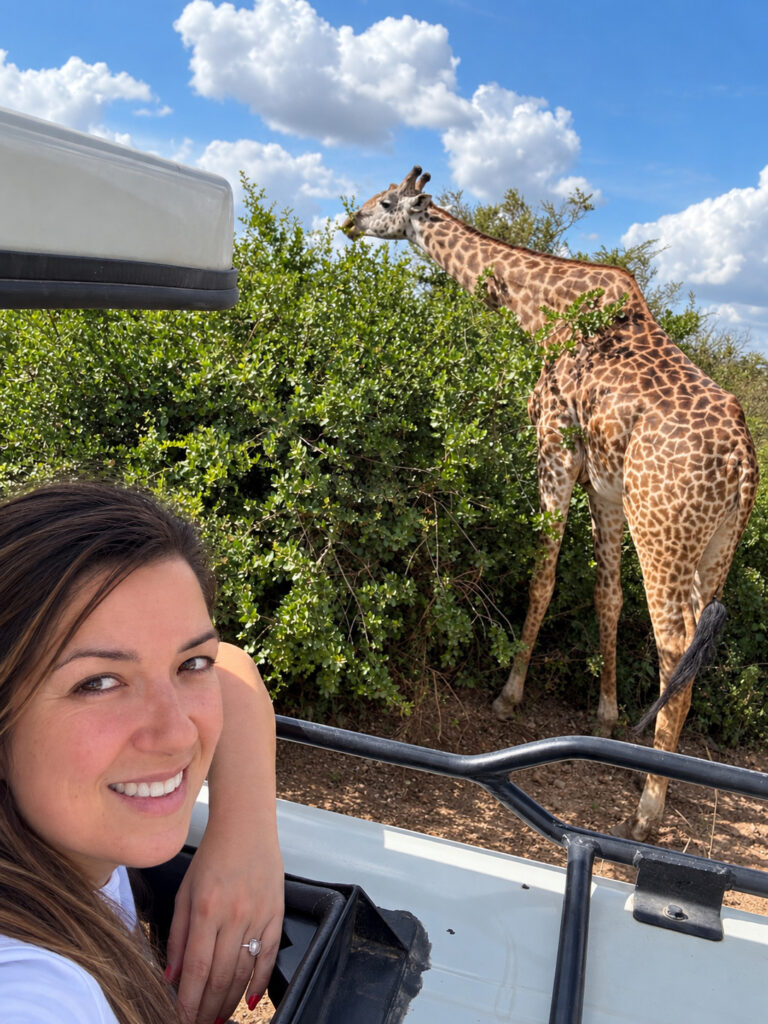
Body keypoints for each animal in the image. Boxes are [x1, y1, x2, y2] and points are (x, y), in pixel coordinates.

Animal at [342, 166, 758, 841]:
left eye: (384, 201)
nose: (348, 221)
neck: (541, 309)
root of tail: (744, 462)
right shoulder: (604, 484)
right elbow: (606, 594)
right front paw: (606, 718)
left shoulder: (554, 446)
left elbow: (543, 576)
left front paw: (508, 695)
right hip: (716, 544)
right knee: (695, 651)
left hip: (663, 532)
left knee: (674, 646)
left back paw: (648, 810)